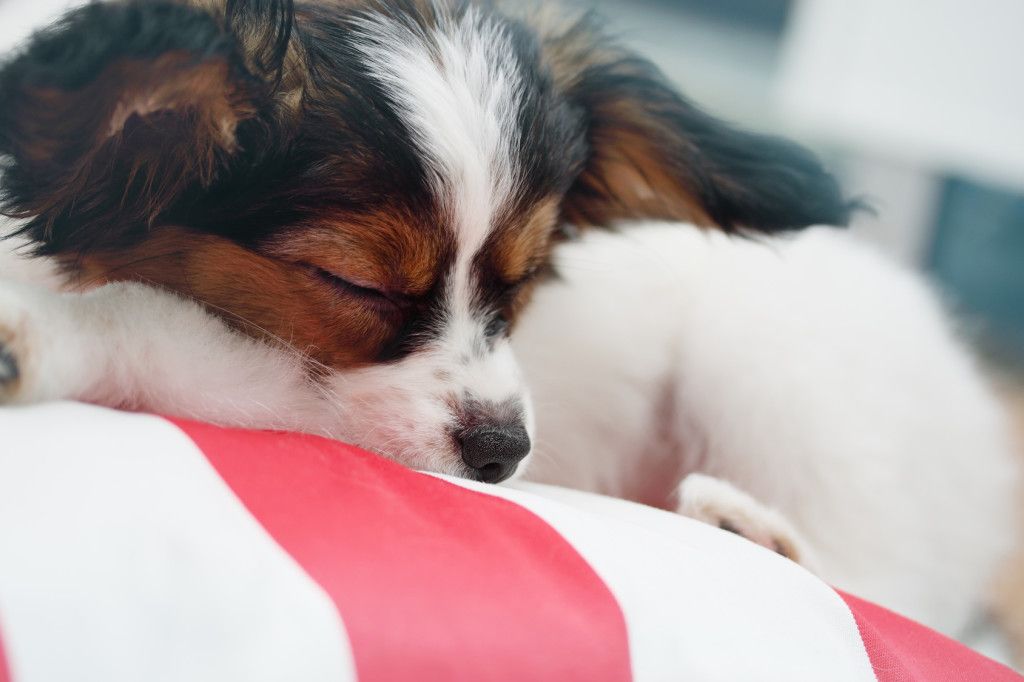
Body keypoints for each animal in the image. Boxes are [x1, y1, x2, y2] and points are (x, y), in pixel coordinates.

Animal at [0, 0, 1019, 647]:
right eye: (353, 284)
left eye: (522, 283)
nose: (504, 455)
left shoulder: (297, 385)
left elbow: (145, 317)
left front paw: (35, 331)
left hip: (781, 382)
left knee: (882, 592)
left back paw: (750, 531)